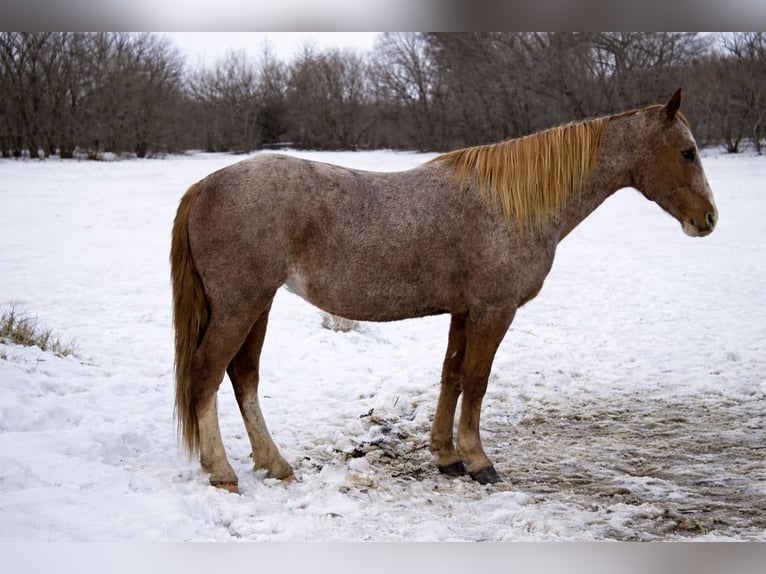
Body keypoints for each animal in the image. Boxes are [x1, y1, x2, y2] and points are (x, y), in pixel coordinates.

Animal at [171, 89, 717, 493]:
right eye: (687, 152)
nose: (708, 219)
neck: (511, 204)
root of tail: (206, 184)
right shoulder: (494, 311)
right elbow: (476, 381)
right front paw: (478, 461)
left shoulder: (463, 312)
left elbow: (450, 376)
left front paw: (446, 456)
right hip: (240, 306)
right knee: (207, 374)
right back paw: (222, 472)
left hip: (257, 305)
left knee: (243, 376)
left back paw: (274, 464)